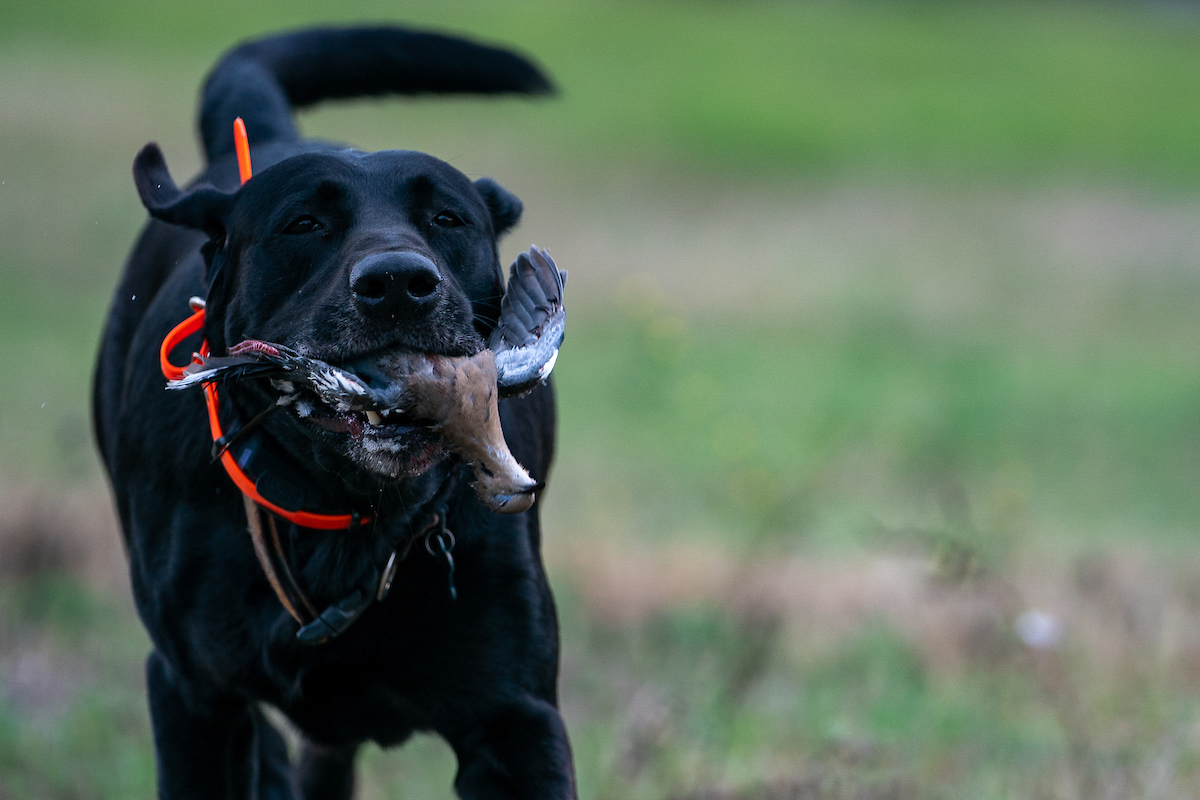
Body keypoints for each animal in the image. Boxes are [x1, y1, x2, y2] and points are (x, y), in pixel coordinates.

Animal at [96, 26, 573, 800]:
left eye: (447, 218)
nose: (399, 284)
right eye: (303, 224)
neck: (347, 511)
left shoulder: (517, 716)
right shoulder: (193, 696)